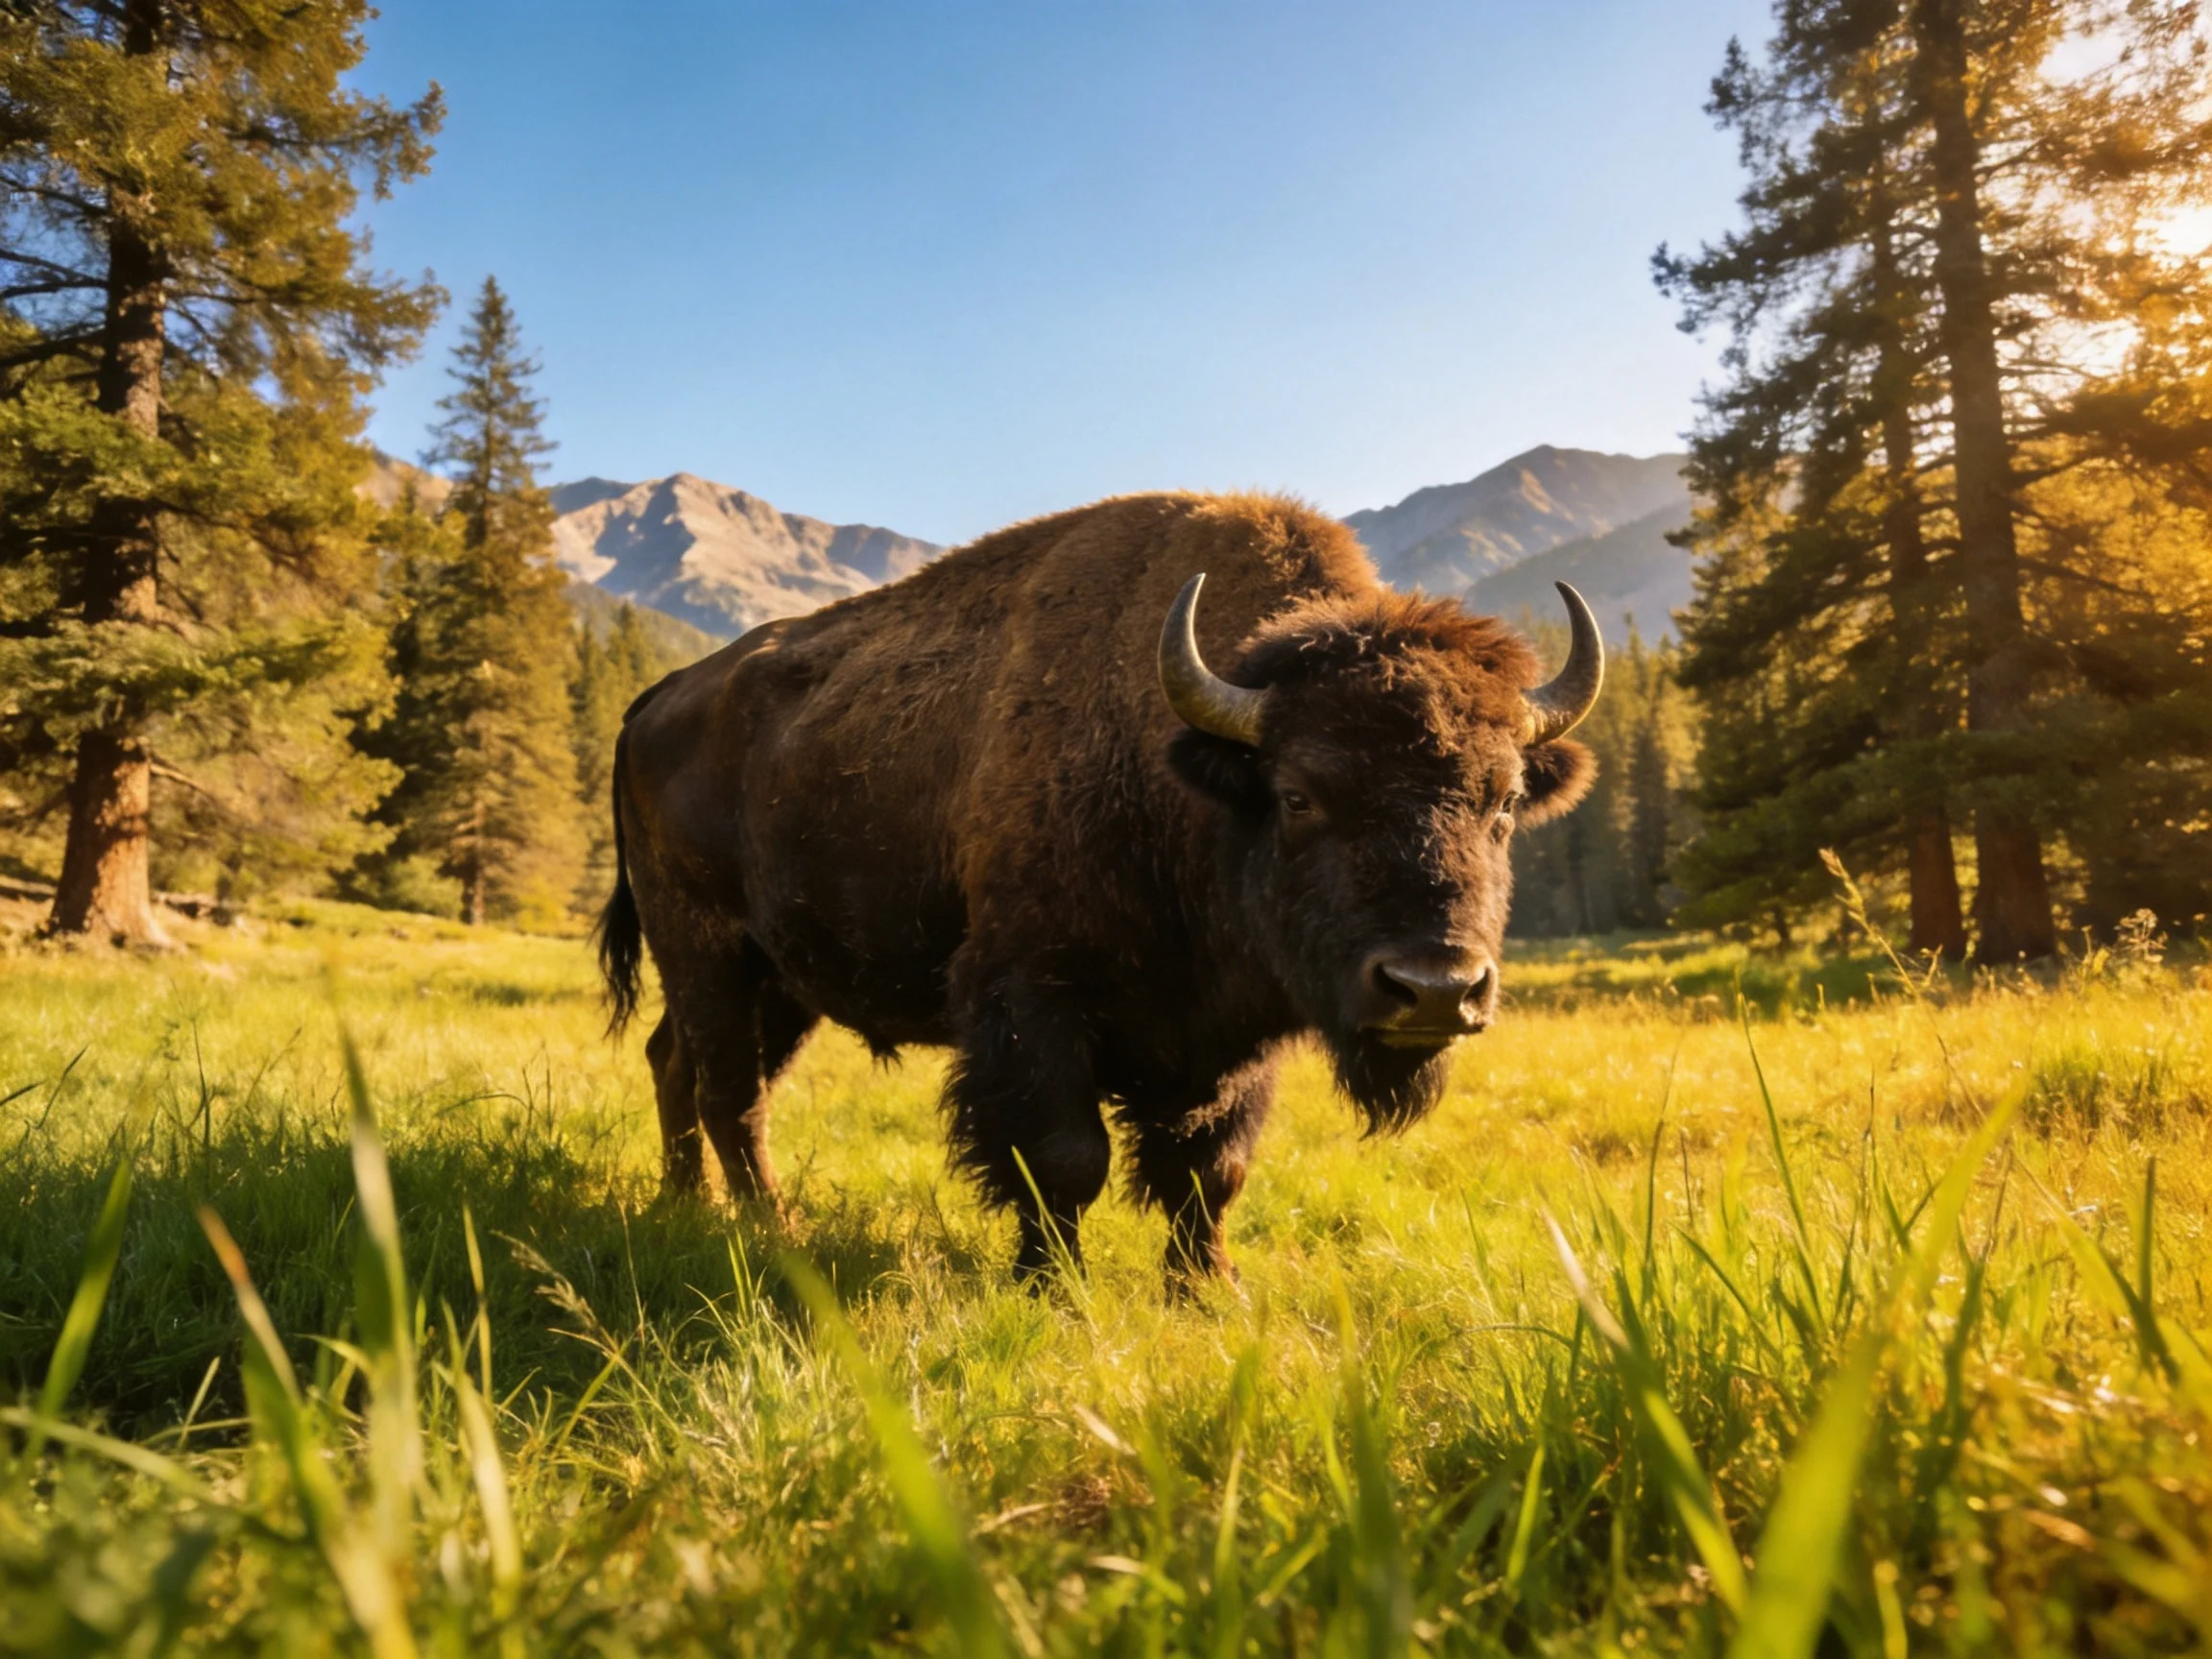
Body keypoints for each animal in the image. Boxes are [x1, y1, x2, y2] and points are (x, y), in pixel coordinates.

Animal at [599, 491, 1600, 1288]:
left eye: (1506, 800)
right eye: (1298, 794)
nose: (1433, 990)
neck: (1186, 773)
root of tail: (653, 700)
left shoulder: (1231, 1039)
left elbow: (1210, 1170)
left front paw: (1207, 1292)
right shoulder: (1032, 1004)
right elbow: (1065, 1159)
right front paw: (1052, 1289)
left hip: (781, 981)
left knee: (680, 1065)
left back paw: (684, 1209)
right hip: (705, 949)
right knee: (728, 1091)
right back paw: (772, 1230)